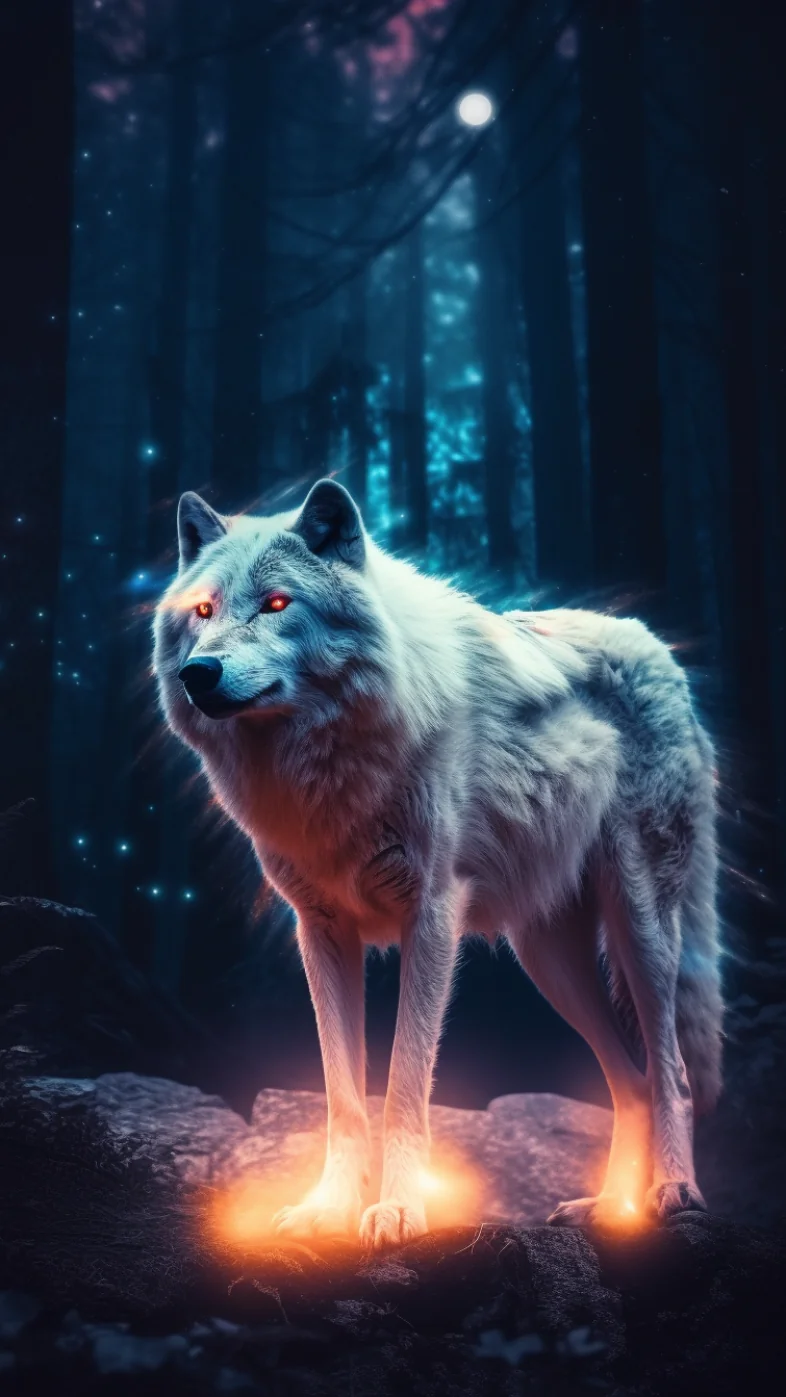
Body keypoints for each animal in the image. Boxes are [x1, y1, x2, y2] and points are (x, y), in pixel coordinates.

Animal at [153, 478, 723, 1250]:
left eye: (275, 603)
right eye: (204, 611)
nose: (197, 673)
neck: (328, 768)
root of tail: (662, 650)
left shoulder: (432, 918)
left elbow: (401, 1086)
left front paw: (398, 1212)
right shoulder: (322, 932)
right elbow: (343, 1097)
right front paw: (327, 1211)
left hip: (640, 928)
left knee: (672, 1073)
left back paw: (673, 1192)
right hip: (547, 958)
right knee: (628, 1083)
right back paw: (607, 1209)